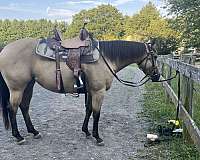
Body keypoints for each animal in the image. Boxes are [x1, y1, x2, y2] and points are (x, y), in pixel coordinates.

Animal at [0, 32, 160, 145]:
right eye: (156, 56)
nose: (157, 76)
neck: (105, 58)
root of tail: (5, 50)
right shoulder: (98, 92)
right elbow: (96, 113)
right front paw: (97, 137)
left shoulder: (91, 91)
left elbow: (88, 110)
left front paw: (86, 132)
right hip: (17, 88)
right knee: (12, 108)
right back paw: (18, 136)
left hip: (28, 85)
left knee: (24, 107)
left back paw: (33, 131)